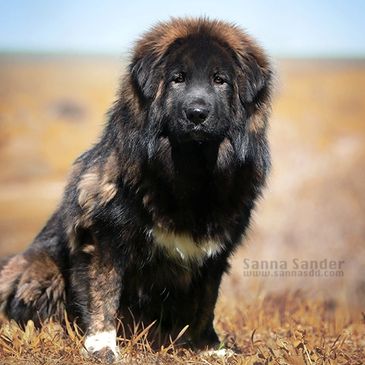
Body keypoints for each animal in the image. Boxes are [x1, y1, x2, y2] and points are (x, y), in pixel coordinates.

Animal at [0, 16, 272, 362]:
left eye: (220, 80)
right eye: (177, 79)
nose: (197, 114)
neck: (190, 173)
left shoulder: (216, 251)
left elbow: (205, 304)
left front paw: (207, 347)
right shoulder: (104, 237)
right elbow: (104, 293)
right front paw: (101, 346)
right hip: (38, 269)